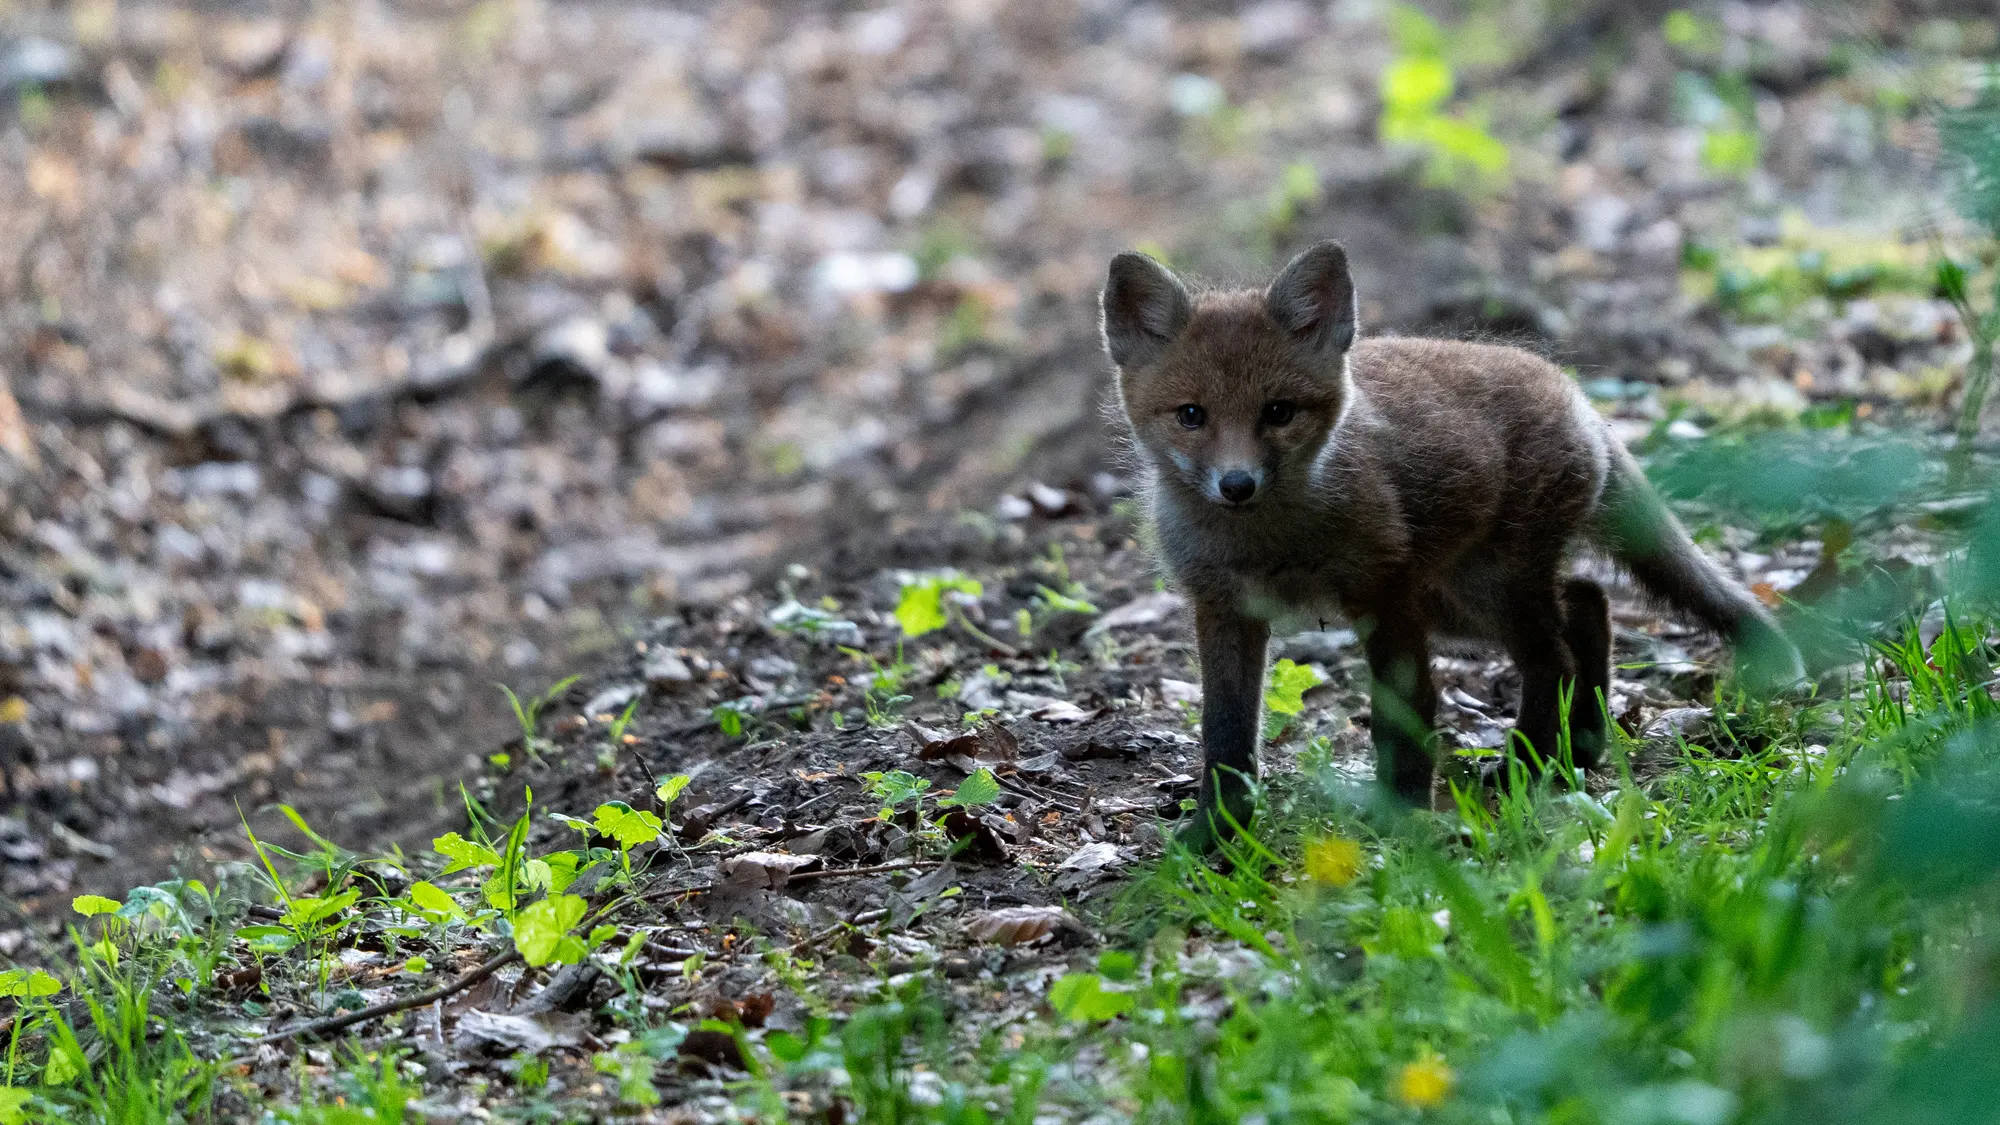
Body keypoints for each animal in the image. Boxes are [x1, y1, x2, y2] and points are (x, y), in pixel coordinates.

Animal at [1099, 240, 1804, 844]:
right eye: (1192, 415)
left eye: (1279, 413)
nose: (1237, 485)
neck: (1267, 546)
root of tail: (1574, 393)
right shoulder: (1224, 611)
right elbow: (1225, 738)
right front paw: (1216, 836)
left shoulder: (1385, 599)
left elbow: (1403, 719)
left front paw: (1403, 816)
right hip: (1457, 603)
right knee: (1587, 601)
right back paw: (1581, 746)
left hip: (1483, 589)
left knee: (1556, 655)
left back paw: (1534, 766)